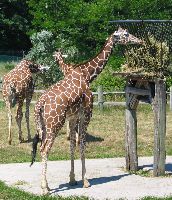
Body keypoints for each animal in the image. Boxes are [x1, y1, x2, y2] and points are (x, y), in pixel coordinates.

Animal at [29, 27, 142, 195]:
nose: (139, 40)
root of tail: (39, 104)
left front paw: (72, 179)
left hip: (42, 125)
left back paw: (47, 185)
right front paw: (86, 181)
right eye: (126, 34)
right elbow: (82, 144)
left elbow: (72, 144)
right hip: (54, 123)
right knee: (44, 149)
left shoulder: (73, 116)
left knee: (43, 146)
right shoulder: (87, 114)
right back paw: (45, 189)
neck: (87, 74)